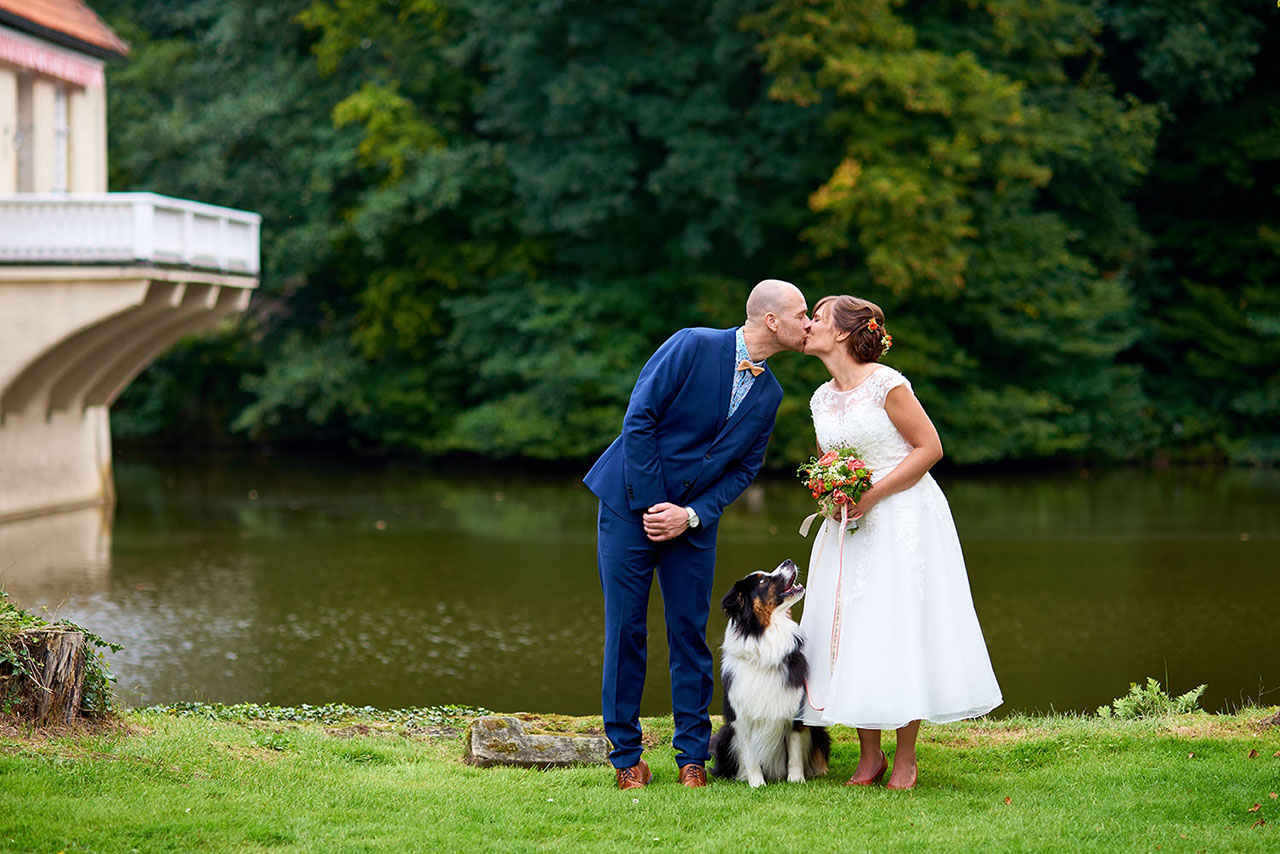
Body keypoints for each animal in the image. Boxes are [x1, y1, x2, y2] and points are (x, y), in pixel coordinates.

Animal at [711, 560, 829, 788]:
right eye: (762, 581)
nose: (788, 561)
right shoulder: (741, 718)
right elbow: (750, 756)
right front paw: (756, 783)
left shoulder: (794, 712)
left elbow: (794, 752)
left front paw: (796, 779)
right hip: (724, 736)